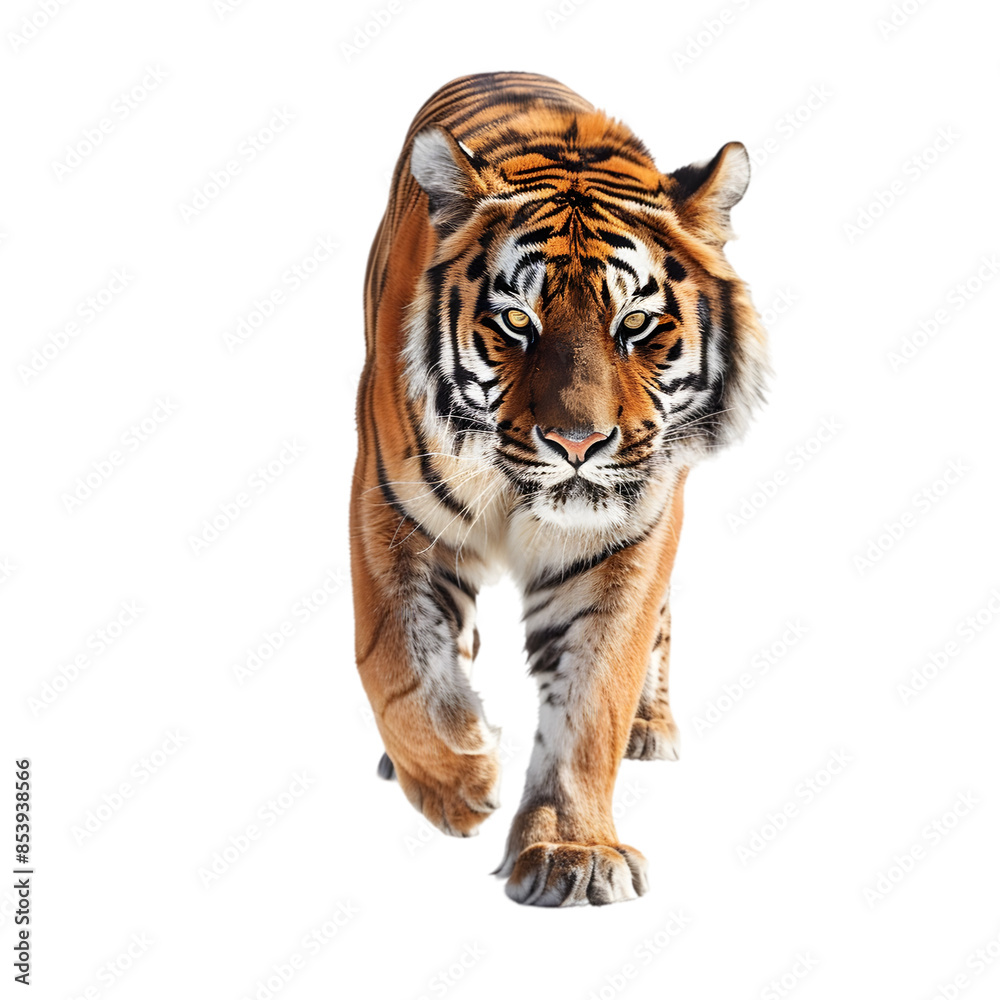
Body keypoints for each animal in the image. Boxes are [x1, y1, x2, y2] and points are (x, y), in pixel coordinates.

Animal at [351, 71, 768, 907]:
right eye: (517, 321)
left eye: (636, 324)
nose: (578, 444)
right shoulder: (388, 508)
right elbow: (397, 660)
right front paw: (458, 781)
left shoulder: (632, 537)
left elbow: (594, 693)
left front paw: (574, 851)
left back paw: (650, 726)